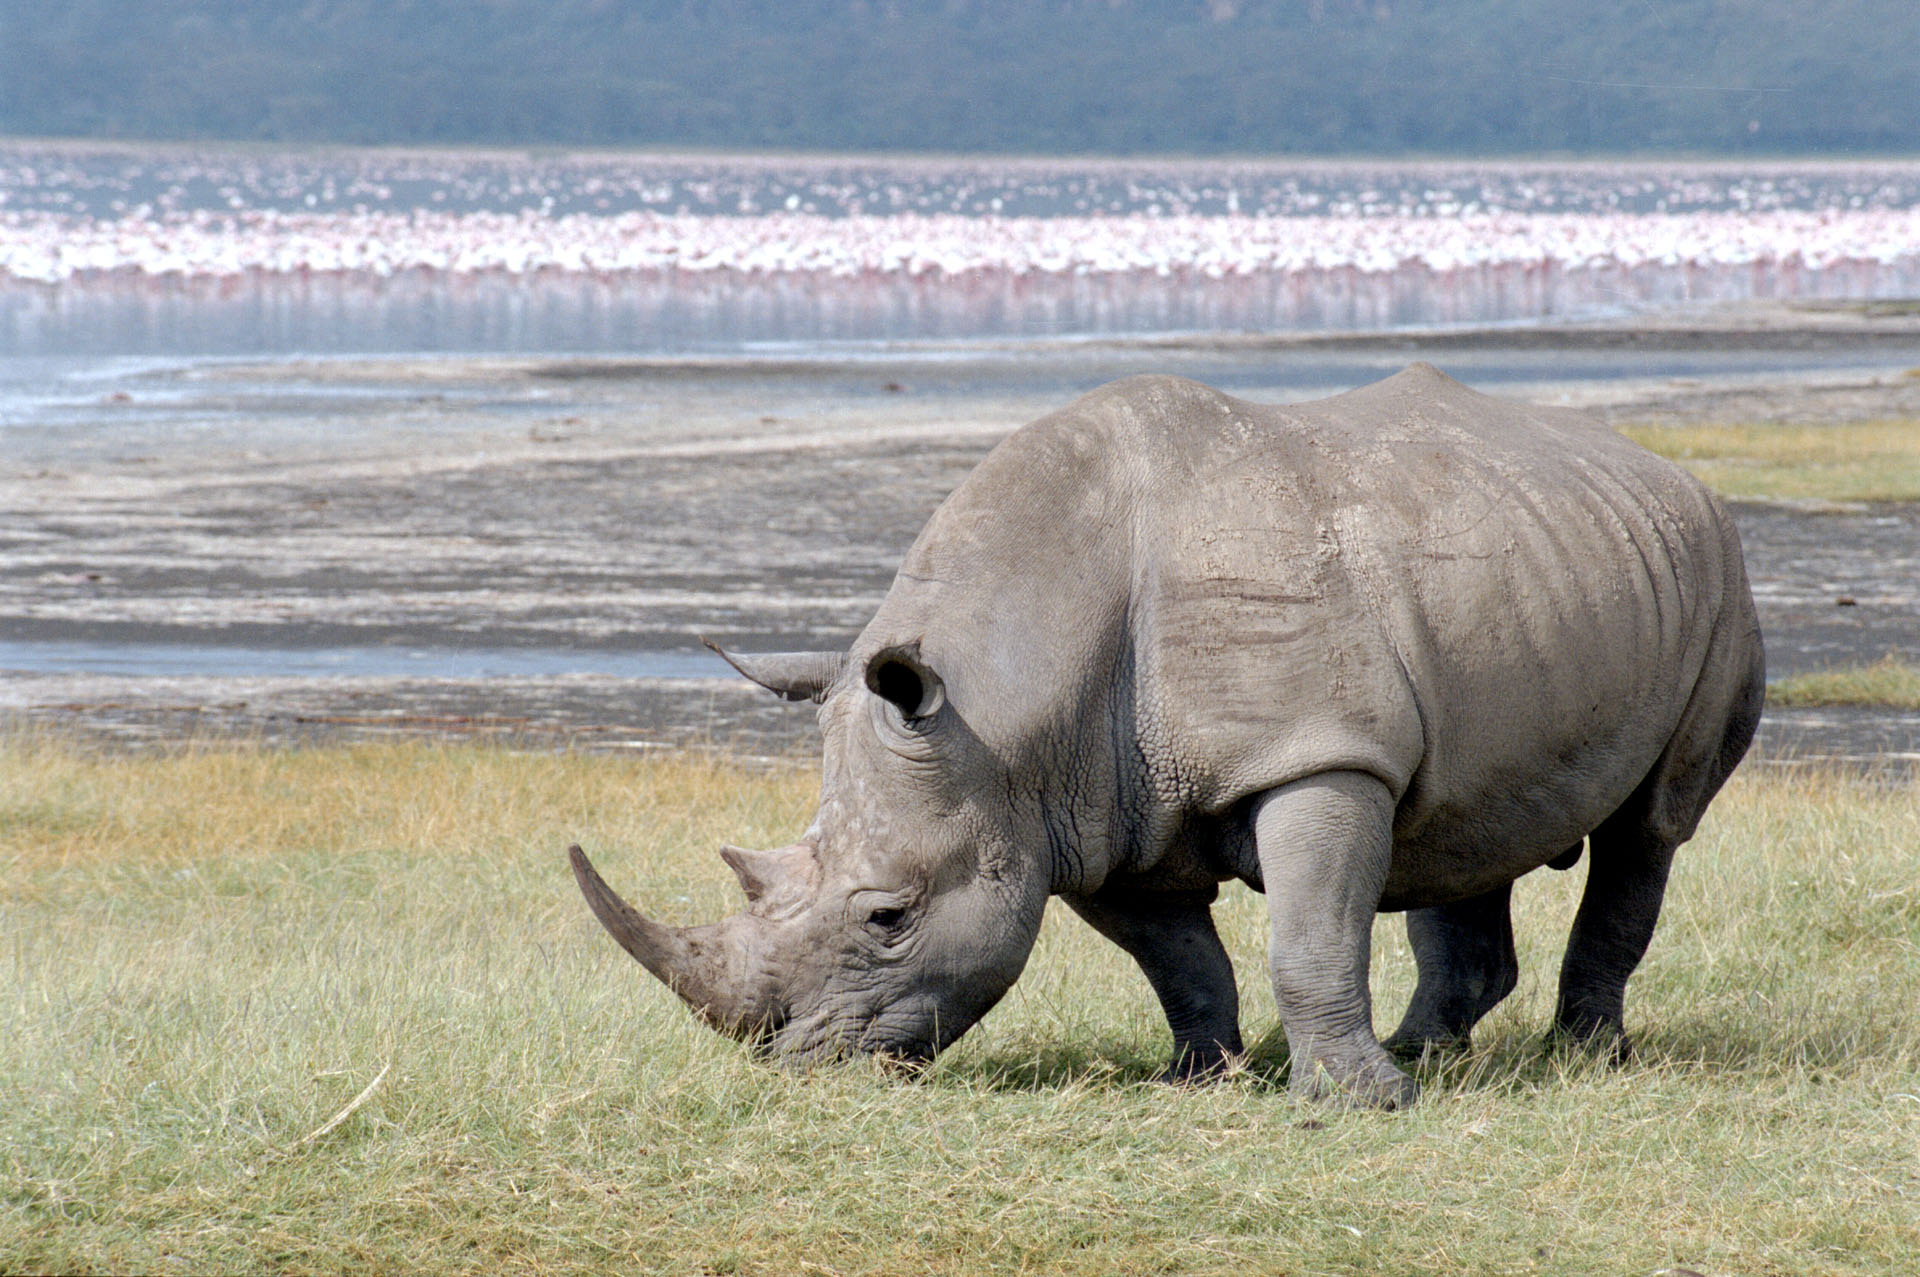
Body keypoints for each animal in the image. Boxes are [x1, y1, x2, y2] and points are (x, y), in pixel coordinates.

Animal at [560, 361, 1758, 1106]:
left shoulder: (1314, 750)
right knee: (1465, 819)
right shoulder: (1083, 810)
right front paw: (1202, 1078)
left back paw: (1583, 1058)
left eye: (890, 915)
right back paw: (1432, 1049)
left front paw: (1358, 1105)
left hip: (1715, 572)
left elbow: (1308, 932)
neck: (1006, 697)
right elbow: (1179, 959)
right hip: (1530, 562)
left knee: (1651, 828)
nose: (801, 1064)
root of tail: (1668, 469)